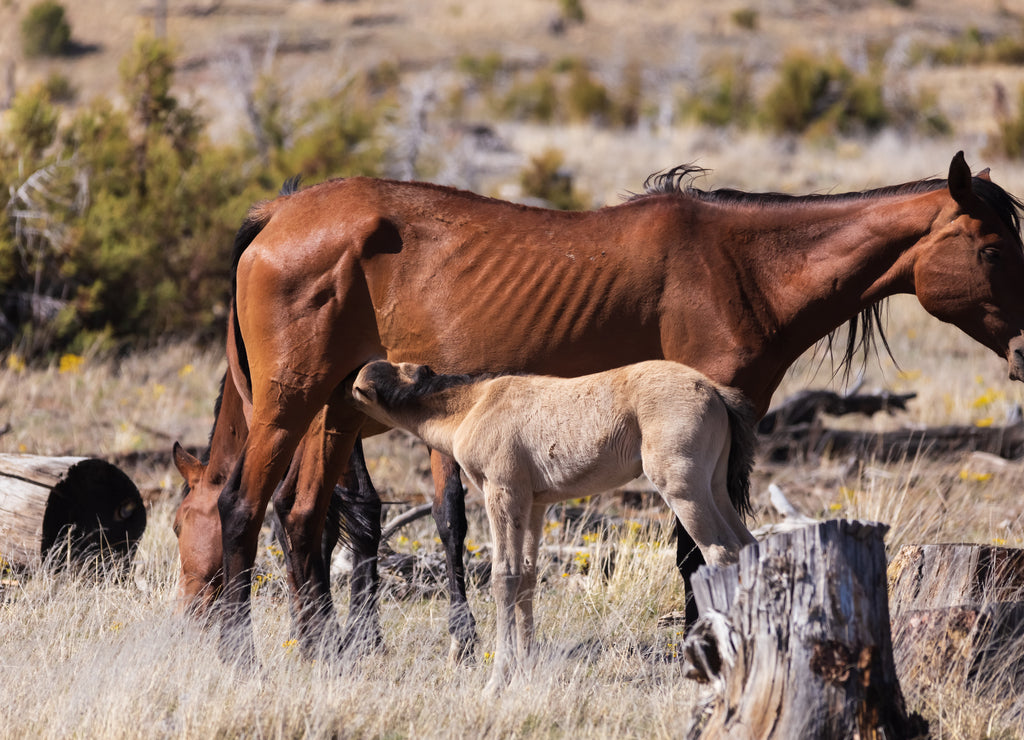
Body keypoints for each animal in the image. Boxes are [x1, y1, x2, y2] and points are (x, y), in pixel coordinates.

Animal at [349, 359, 758, 690]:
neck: (473, 406)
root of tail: (714, 390)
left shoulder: (502, 493)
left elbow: (504, 578)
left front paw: (497, 681)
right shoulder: (534, 504)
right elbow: (528, 578)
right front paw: (524, 674)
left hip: (683, 491)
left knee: (719, 552)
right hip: (714, 488)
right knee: (746, 546)